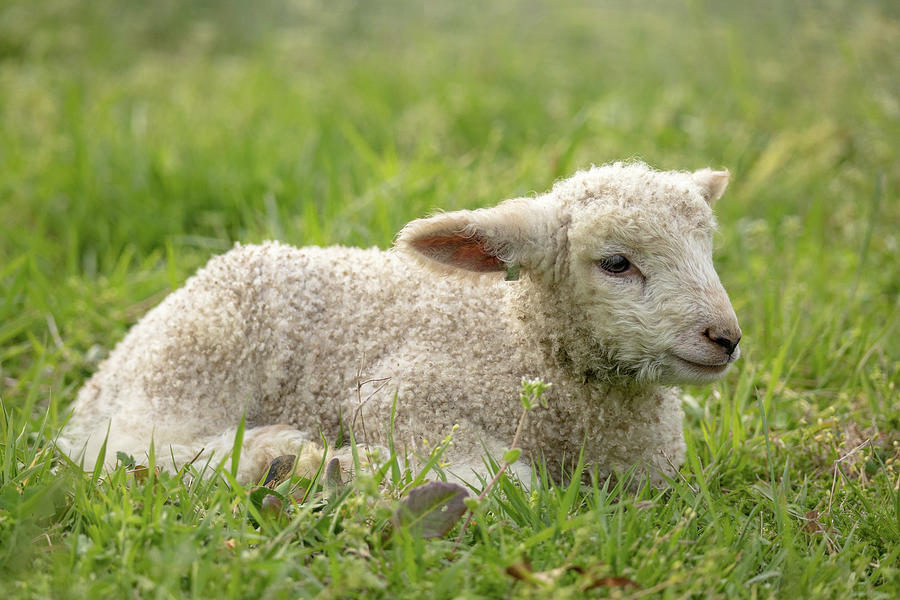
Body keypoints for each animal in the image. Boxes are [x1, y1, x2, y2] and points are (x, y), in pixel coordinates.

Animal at [59, 161, 740, 488]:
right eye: (616, 263)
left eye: (708, 249)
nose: (726, 338)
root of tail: (112, 365)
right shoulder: (400, 393)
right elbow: (504, 480)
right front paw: (354, 469)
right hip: (198, 359)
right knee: (121, 449)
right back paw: (280, 457)